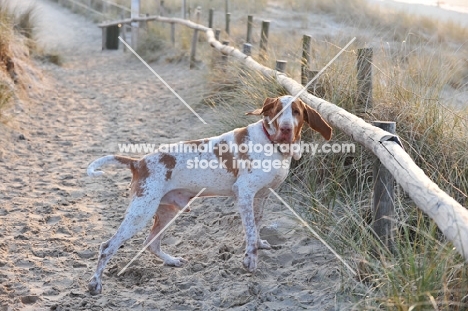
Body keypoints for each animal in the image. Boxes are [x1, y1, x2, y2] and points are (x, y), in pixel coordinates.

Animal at [86, 96, 330, 296]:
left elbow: (257, 225)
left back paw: (171, 261)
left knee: (151, 243)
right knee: (107, 247)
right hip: (141, 212)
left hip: (166, 211)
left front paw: (260, 244)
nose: (287, 129)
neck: (272, 144)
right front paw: (250, 260)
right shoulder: (244, 194)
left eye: (296, 112)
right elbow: (250, 233)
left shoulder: (262, 195)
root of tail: (138, 163)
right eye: (278, 111)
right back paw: (95, 284)